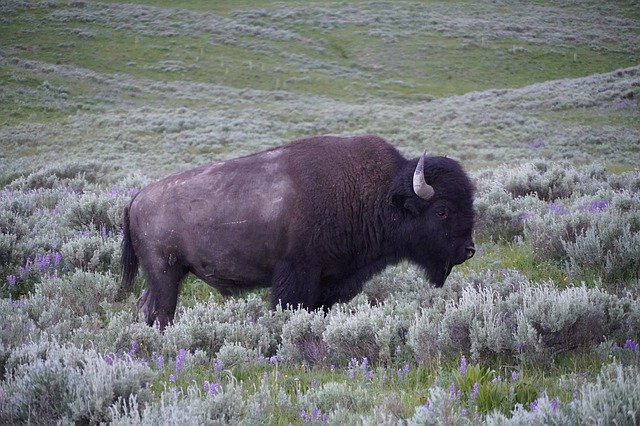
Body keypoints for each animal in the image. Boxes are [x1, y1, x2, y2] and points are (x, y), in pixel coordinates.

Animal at [120, 135, 476, 328]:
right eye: (442, 210)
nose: (469, 250)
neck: (378, 194)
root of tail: (136, 198)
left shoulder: (329, 283)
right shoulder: (298, 276)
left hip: (163, 276)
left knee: (146, 307)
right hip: (166, 275)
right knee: (161, 312)